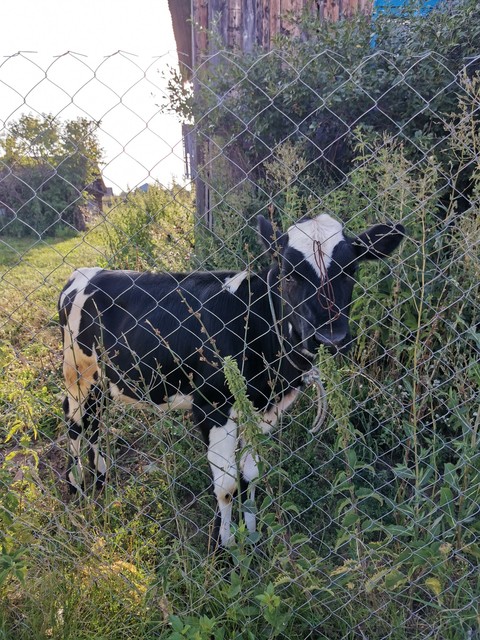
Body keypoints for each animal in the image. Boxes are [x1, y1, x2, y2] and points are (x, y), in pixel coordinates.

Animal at [58, 213, 404, 548]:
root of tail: (86, 273)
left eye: (351, 270)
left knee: (95, 420)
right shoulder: (213, 407)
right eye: (289, 274)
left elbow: (250, 475)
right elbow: (226, 485)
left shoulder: (262, 410)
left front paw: (251, 537)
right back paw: (77, 486)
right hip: (78, 372)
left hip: (104, 380)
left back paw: (100, 479)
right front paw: (223, 546)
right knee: (75, 422)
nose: (330, 338)